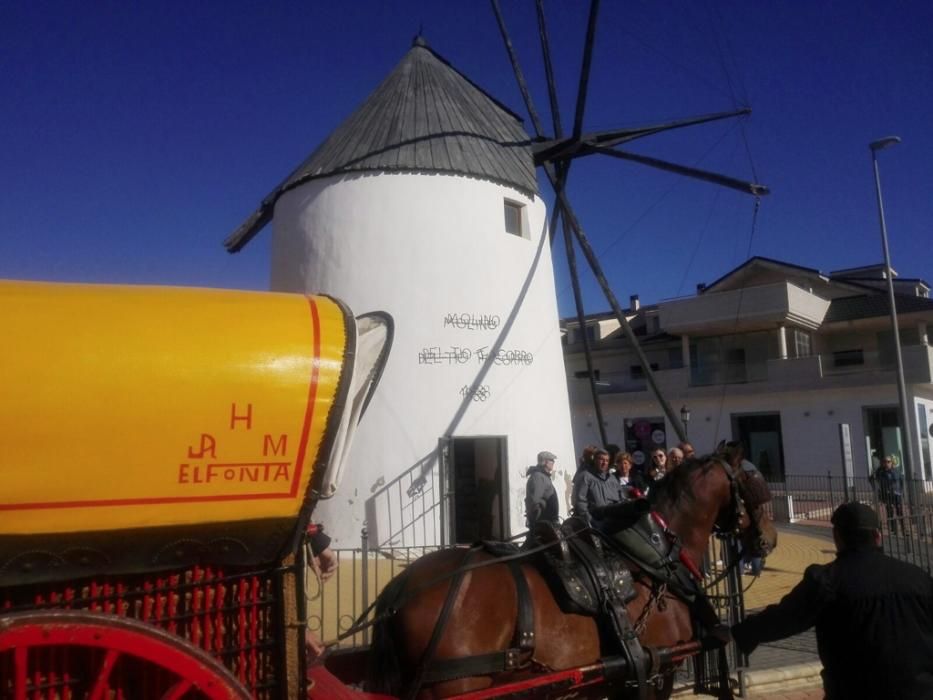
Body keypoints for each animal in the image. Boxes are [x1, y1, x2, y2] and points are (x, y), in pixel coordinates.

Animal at [362, 446, 772, 696]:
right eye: (755, 481)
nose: (768, 540)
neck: (653, 548)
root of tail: (399, 588)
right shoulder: (659, 668)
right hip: (458, 684)